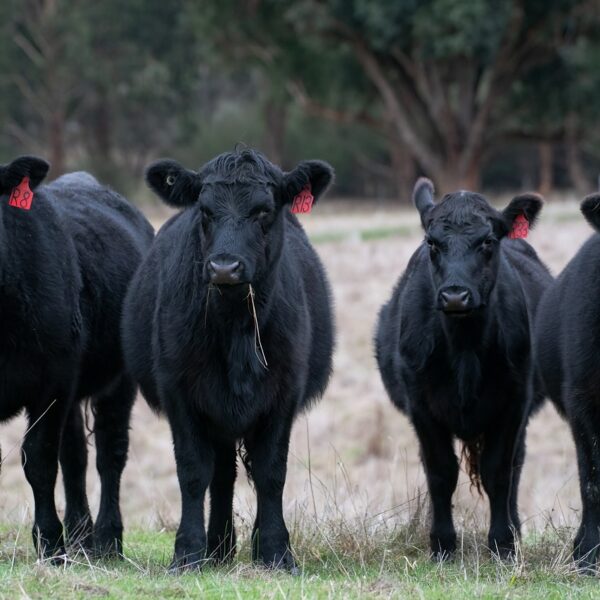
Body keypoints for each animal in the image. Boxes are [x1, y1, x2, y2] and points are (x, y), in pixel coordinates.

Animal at [0, 155, 155, 556]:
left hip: (117, 381)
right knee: (75, 456)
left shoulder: (51, 383)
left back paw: (106, 539)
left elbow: (39, 459)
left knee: (109, 452)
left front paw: (50, 541)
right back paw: (80, 533)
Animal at [120, 148, 338, 568]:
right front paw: (188, 552)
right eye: (205, 210)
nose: (224, 267)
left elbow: (271, 472)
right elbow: (192, 471)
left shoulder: (284, 393)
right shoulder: (179, 391)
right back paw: (218, 548)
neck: (236, 325)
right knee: (221, 474)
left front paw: (276, 551)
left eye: (263, 211)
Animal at [376, 178, 552, 556]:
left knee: (515, 465)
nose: (455, 296)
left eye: (487, 241)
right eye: (432, 243)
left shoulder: (514, 402)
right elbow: (441, 472)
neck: (464, 348)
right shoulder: (422, 406)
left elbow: (499, 471)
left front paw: (502, 543)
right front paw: (442, 544)